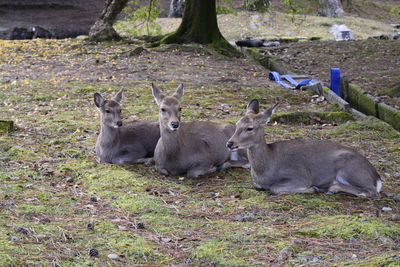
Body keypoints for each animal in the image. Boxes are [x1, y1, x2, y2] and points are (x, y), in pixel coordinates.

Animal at [227, 99, 382, 199]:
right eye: (237, 124)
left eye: (250, 128)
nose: (229, 143)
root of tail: (377, 177)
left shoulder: (299, 176)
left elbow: (275, 188)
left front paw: (311, 189)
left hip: (350, 170)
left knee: (371, 191)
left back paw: (329, 188)